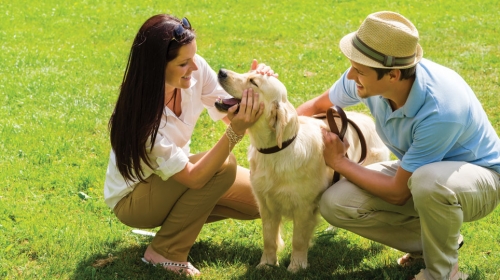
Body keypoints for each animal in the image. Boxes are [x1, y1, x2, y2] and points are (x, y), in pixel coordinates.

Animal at [217, 69, 388, 272]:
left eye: (253, 82)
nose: (221, 72)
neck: (277, 150)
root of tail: (366, 118)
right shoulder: (265, 204)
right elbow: (269, 238)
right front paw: (266, 264)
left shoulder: (304, 207)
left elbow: (298, 240)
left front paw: (296, 266)